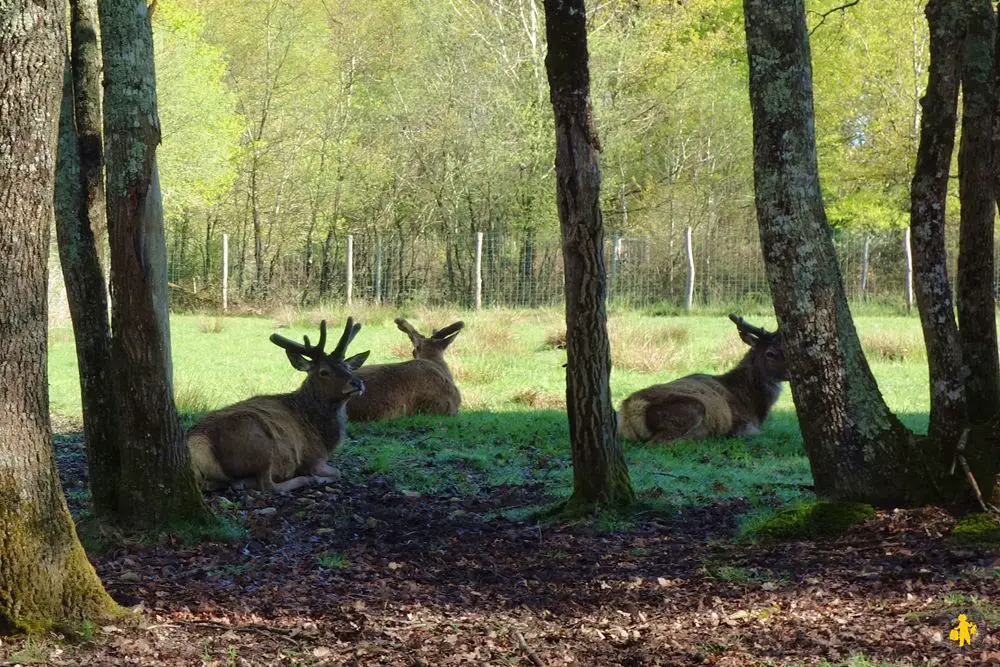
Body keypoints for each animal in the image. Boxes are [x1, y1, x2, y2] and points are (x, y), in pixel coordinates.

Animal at [186, 318, 370, 496]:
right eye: (324, 372)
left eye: (348, 367)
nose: (357, 383)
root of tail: (197, 443)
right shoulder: (313, 457)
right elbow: (337, 472)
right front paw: (317, 478)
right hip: (259, 444)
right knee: (267, 485)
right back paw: (306, 480)